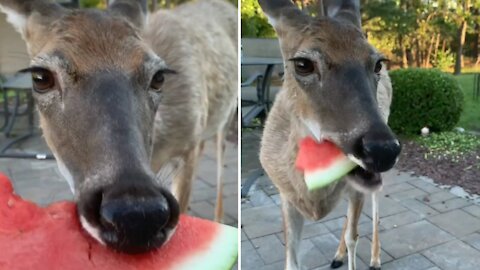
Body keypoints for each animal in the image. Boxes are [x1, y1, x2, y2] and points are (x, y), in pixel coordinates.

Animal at [258, 0, 402, 270]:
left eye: (377, 63)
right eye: (303, 64)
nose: (383, 150)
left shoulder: (358, 189)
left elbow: (354, 237)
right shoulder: (285, 195)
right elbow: (291, 257)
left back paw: (374, 259)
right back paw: (337, 256)